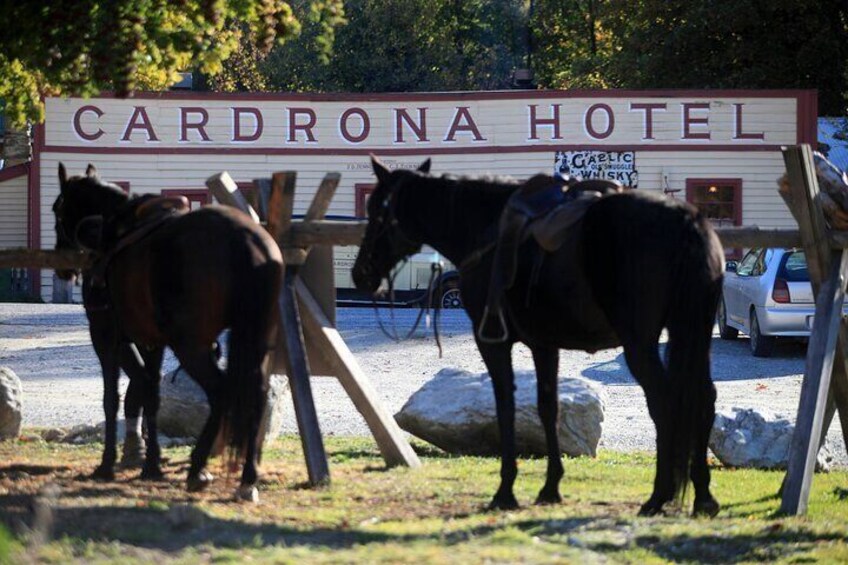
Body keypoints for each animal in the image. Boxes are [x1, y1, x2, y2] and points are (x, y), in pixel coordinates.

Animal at [54, 163, 284, 498]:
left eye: (57, 209)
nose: (62, 267)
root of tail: (246, 240)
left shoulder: (105, 337)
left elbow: (111, 399)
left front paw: (106, 465)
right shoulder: (153, 342)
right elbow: (151, 395)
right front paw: (152, 464)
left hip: (191, 345)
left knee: (221, 392)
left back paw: (198, 467)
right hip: (256, 341)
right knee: (257, 394)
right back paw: (247, 477)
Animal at [354, 158, 724, 516]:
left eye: (376, 210)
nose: (362, 274)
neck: (484, 229)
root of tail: (687, 220)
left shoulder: (492, 341)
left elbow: (506, 406)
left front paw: (505, 491)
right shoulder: (544, 345)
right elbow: (548, 407)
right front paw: (550, 487)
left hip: (640, 343)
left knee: (665, 403)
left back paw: (659, 496)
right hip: (694, 333)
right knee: (703, 398)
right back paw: (704, 496)